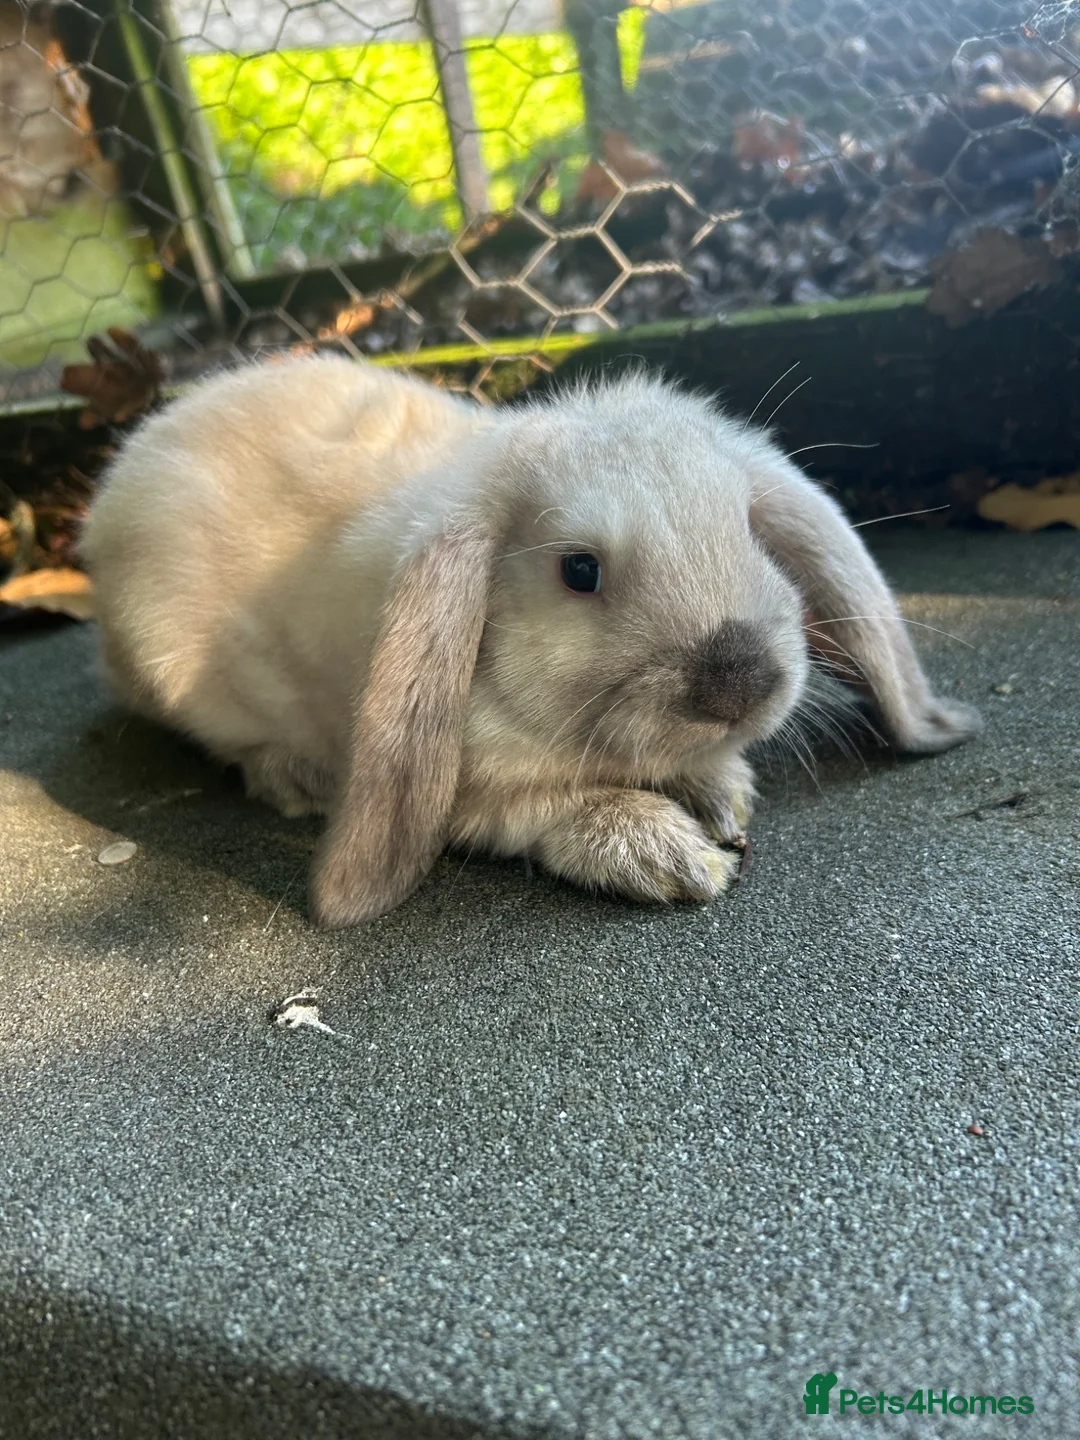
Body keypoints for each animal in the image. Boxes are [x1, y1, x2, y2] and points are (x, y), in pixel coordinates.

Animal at [81, 353, 982, 926]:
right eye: (579, 570)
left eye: (748, 530)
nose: (739, 681)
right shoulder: (475, 799)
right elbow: (555, 811)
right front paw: (672, 854)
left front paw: (724, 794)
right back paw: (295, 778)